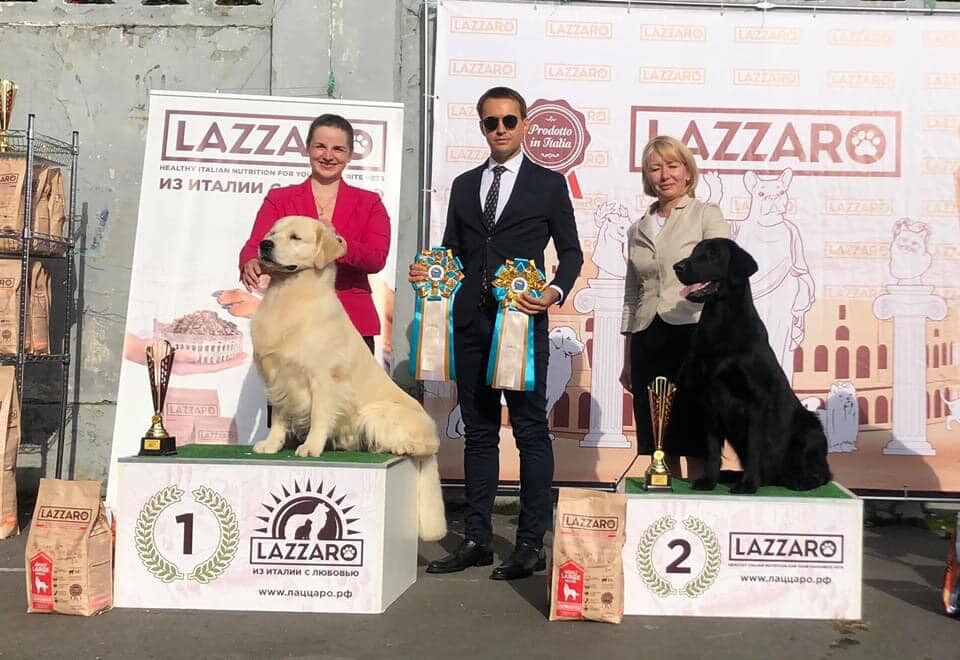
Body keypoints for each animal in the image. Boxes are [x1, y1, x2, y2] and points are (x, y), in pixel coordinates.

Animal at [250, 215, 446, 541]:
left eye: (295, 237)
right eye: (271, 233)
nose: (264, 245)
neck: (289, 295)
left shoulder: (322, 378)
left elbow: (319, 416)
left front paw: (311, 448)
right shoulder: (277, 378)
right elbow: (278, 417)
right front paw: (271, 445)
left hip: (378, 412)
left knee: (428, 445)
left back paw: (403, 446)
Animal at [673, 237, 832, 493]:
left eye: (712, 254)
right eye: (694, 252)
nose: (677, 267)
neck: (720, 324)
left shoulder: (758, 401)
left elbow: (755, 447)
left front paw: (747, 484)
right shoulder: (708, 400)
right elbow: (711, 449)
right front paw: (709, 479)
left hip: (811, 428)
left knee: (823, 474)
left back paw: (799, 480)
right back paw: (730, 475)